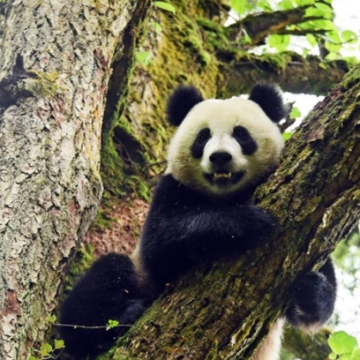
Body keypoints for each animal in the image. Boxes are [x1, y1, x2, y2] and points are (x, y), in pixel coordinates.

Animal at [59, 83, 338, 360]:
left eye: (241, 134)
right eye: (203, 137)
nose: (220, 157)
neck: (225, 195)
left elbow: (318, 291)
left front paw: (312, 289)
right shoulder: (171, 189)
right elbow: (162, 243)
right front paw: (250, 221)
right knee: (101, 281)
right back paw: (110, 325)